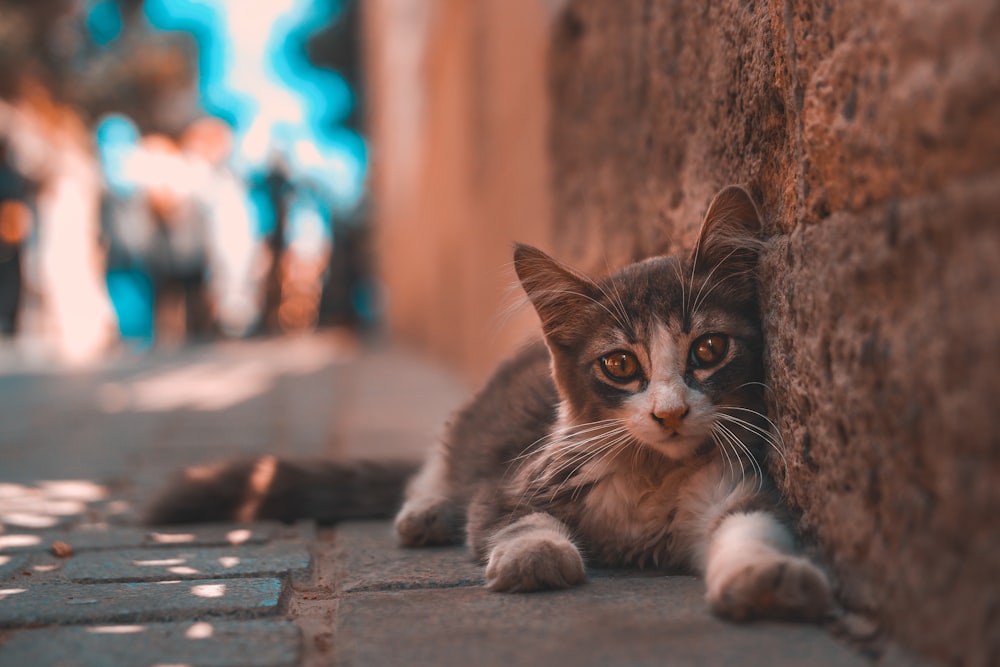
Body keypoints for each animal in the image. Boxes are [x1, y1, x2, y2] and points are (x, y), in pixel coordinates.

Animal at [146, 185, 836, 624]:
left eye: (709, 349)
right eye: (620, 365)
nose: (669, 413)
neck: (651, 470)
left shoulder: (738, 480)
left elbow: (751, 523)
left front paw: (765, 577)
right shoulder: (514, 477)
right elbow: (512, 515)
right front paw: (536, 554)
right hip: (473, 424)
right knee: (437, 465)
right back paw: (426, 512)